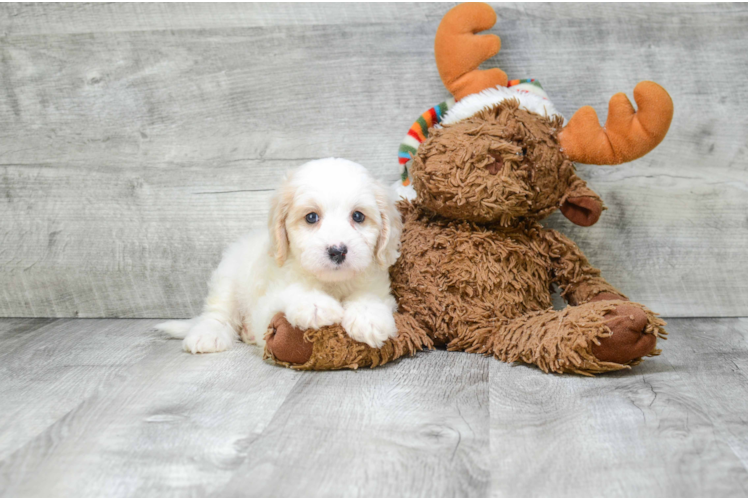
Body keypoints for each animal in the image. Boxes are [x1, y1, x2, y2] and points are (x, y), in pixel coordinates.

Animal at [156, 158, 404, 354]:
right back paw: (208, 335)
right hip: (227, 280)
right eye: (311, 217)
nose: (337, 250)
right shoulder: (266, 307)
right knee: (217, 312)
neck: (332, 283)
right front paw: (315, 305)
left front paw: (368, 317)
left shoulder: (378, 286)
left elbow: (369, 296)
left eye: (358, 216)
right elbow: (290, 291)